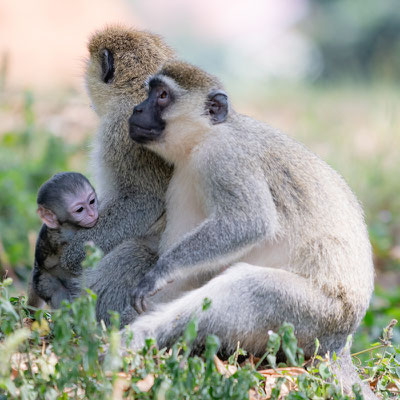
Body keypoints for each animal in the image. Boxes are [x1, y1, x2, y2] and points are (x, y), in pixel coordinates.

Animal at [26, 173, 98, 310]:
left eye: (92, 202)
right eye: (80, 209)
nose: (92, 214)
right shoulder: (64, 236)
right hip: (42, 281)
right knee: (56, 290)